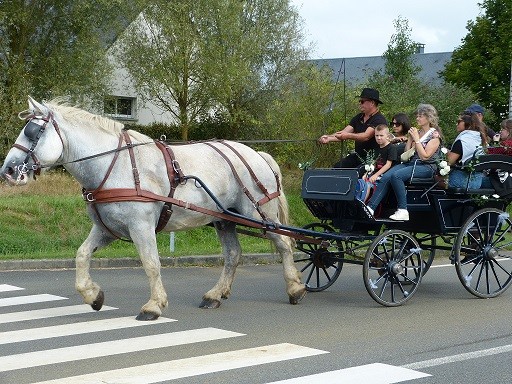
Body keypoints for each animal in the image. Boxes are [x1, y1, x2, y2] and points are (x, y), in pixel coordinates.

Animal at [1, 97, 304, 320]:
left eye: (31, 132)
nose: (8, 170)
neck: (117, 165)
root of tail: (257, 154)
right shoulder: (106, 228)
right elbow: (82, 255)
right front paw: (93, 295)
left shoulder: (141, 226)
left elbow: (151, 263)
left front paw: (154, 305)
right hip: (224, 219)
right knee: (233, 254)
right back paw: (215, 295)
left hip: (259, 215)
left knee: (284, 245)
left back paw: (295, 288)